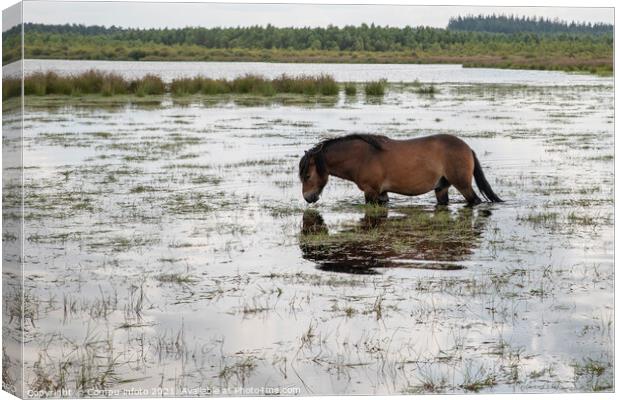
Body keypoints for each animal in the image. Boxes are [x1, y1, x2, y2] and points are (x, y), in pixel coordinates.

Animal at [298, 134, 502, 206]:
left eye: (307, 175)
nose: (308, 198)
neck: (363, 156)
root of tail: (467, 148)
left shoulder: (371, 192)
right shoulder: (382, 194)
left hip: (462, 184)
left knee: (475, 201)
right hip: (441, 187)